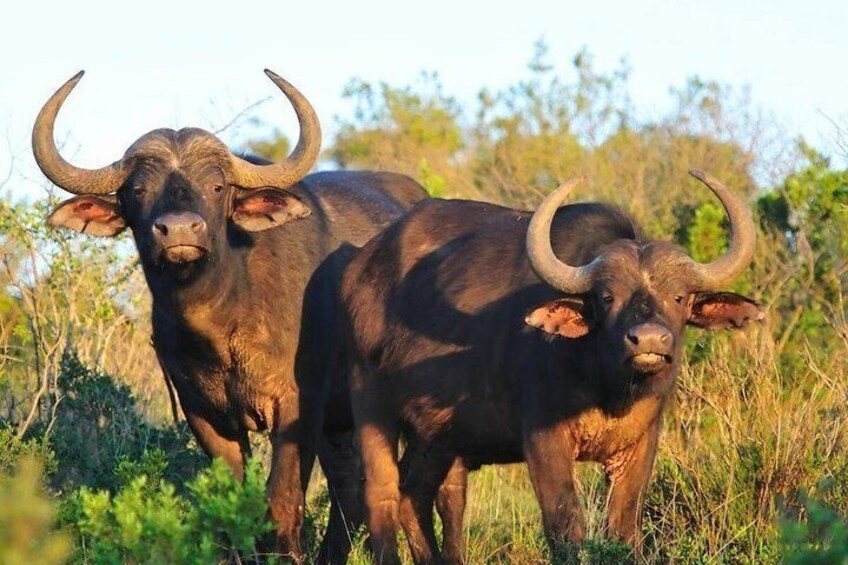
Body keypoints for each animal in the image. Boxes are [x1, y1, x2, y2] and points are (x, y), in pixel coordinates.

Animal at [33, 70, 427, 562]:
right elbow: (231, 505)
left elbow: (281, 502)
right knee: (348, 489)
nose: (179, 230)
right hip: (341, 421)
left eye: (217, 187)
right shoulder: (203, 414)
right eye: (137, 190)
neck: (222, 325)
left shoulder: (297, 407)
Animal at [341, 172, 763, 563]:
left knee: (416, 494)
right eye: (606, 297)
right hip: (371, 401)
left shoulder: (641, 442)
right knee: (382, 493)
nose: (647, 340)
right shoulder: (544, 439)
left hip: (437, 434)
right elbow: (566, 523)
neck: (606, 387)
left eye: (679, 297)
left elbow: (624, 527)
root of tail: (359, 272)